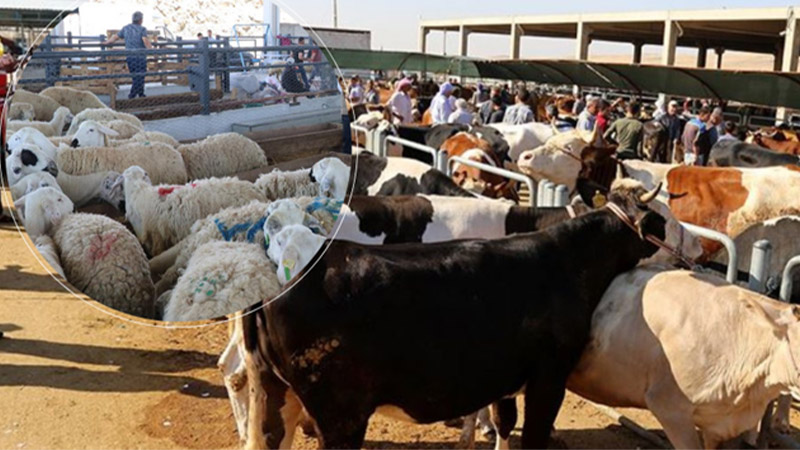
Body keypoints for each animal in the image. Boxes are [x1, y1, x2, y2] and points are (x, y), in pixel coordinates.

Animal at [241, 184, 680, 450]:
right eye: (662, 220)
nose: (686, 253)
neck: (564, 260)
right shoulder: (549, 377)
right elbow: (532, 433)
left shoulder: (507, 377)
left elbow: (504, 421)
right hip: (341, 415)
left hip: (274, 393)